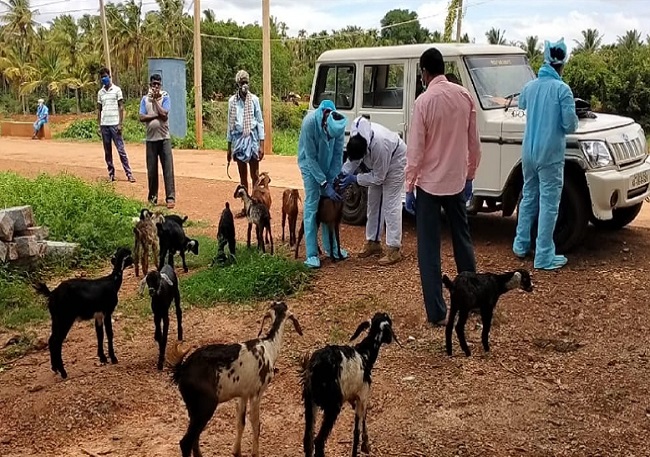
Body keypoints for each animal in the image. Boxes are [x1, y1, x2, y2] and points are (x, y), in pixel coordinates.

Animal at [34, 246, 134, 378]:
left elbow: (100, 334)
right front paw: (113, 358)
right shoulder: (107, 312)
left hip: (56, 318)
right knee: (57, 341)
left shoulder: (98, 315)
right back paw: (63, 372)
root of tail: (52, 293)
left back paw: (54, 368)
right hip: (65, 318)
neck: (113, 281)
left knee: (51, 340)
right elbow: (109, 333)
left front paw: (102, 358)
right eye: (129, 255)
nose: (134, 261)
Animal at [300, 312, 400, 454]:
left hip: (310, 401)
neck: (365, 354)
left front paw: (365, 444)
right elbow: (357, 430)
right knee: (319, 441)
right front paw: (362, 446)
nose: (390, 339)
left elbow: (362, 419)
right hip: (332, 405)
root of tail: (314, 367)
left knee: (308, 442)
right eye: (389, 325)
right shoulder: (363, 395)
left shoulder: (353, 398)